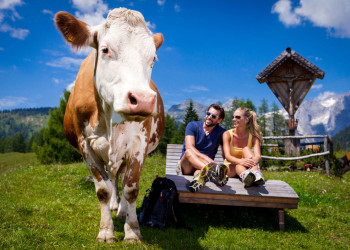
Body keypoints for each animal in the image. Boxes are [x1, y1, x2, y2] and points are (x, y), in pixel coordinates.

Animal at [53, 7, 165, 242]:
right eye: (105, 49)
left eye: (153, 58)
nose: (143, 99)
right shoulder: (86, 145)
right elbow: (102, 189)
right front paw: (106, 230)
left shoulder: (138, 145)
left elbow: (131, 188)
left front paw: (132, 231)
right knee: (111, 178)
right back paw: (114, 206)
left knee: (119, 178)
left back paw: (121, 210)